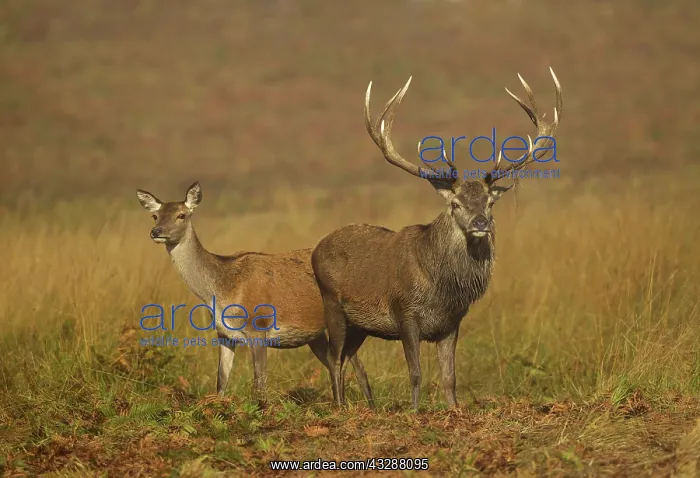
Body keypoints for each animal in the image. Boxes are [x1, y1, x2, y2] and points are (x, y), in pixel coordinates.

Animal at [136, 182, 375, 408]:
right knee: (343, 366)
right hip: (316, 336)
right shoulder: (224, 334)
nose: (156, 231)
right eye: (155, 215)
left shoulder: (258, 329)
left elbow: (259, 386)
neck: (222, 291)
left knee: (355, 368)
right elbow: (221, 382)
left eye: (181, 215)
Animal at [311, 68, 562, 411]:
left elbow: (449, 377)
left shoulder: (451, 323)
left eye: (489, 202)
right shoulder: (405, 314)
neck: (442, 287)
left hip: (360, 325)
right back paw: (340, 407)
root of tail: (315, 250)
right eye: (455, 204)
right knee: (335, 358)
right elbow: (416, 374)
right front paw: (415, 412)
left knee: (347, 355)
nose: (481, 223)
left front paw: (454, 410)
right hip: (332, 305)